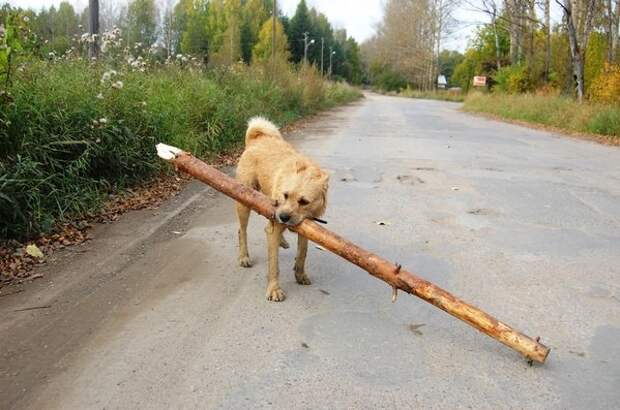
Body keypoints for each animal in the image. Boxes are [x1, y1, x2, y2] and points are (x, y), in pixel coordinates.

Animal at [235, 116, 330, 302]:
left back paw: (282, 239)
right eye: (285, 195)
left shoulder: (306, 228)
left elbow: (302, 253)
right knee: (242, 231)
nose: (284, 217)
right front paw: (274, 289)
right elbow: (274, 265)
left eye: (304, 201)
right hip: (245, 203)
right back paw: (244, 257)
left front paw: (300, 275)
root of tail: (256, 140)